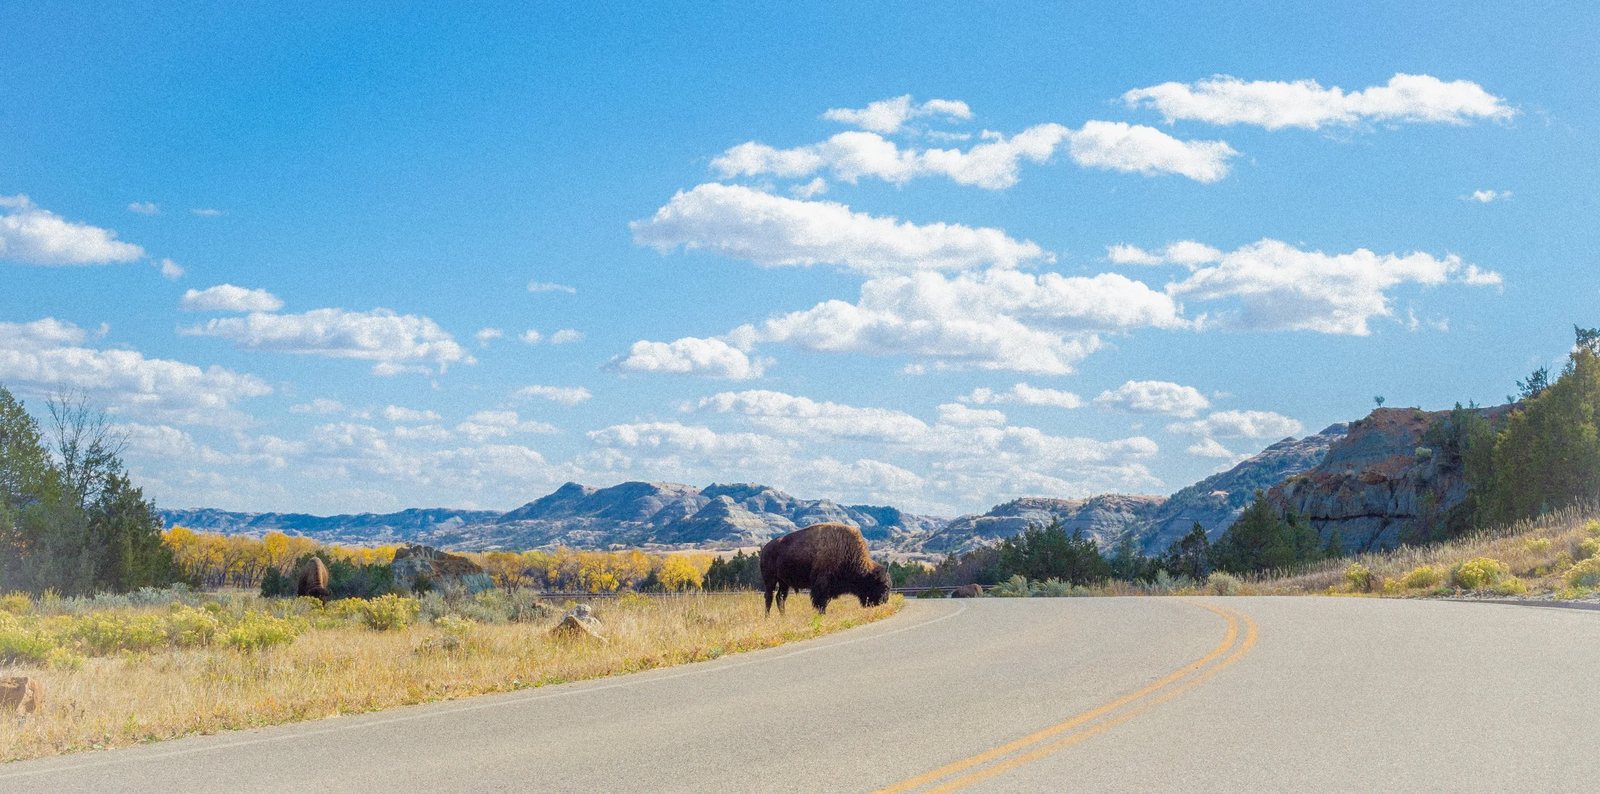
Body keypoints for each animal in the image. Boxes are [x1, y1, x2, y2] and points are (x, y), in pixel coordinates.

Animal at [761, 523, 892, 615]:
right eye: (884, 586)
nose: (884, 601)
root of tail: (765, 548)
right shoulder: (821, 585)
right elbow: (821, 602)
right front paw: (822, 614)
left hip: (784, 582)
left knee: (780, 598)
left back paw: (783, 617)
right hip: (770, 580)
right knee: (769, 598)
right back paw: (767, 618)